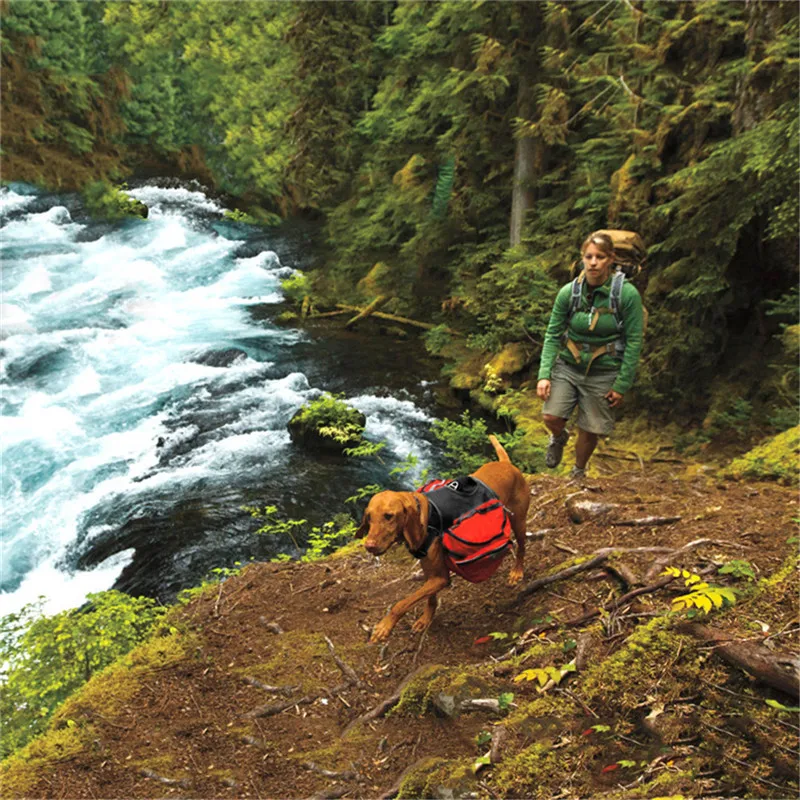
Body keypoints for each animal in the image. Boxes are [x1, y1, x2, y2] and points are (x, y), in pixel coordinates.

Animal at [360, 434, 528, 640]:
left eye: (389, 516)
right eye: (369, 517)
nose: (369, 546)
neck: (426, 515)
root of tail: (506, 463)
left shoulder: (441, 578)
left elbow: (401, 603)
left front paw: (385, 625)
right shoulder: (431, 571)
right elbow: (428, 598)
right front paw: (426, 619)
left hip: (518, 521)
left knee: (522, 547)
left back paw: (517, 572)